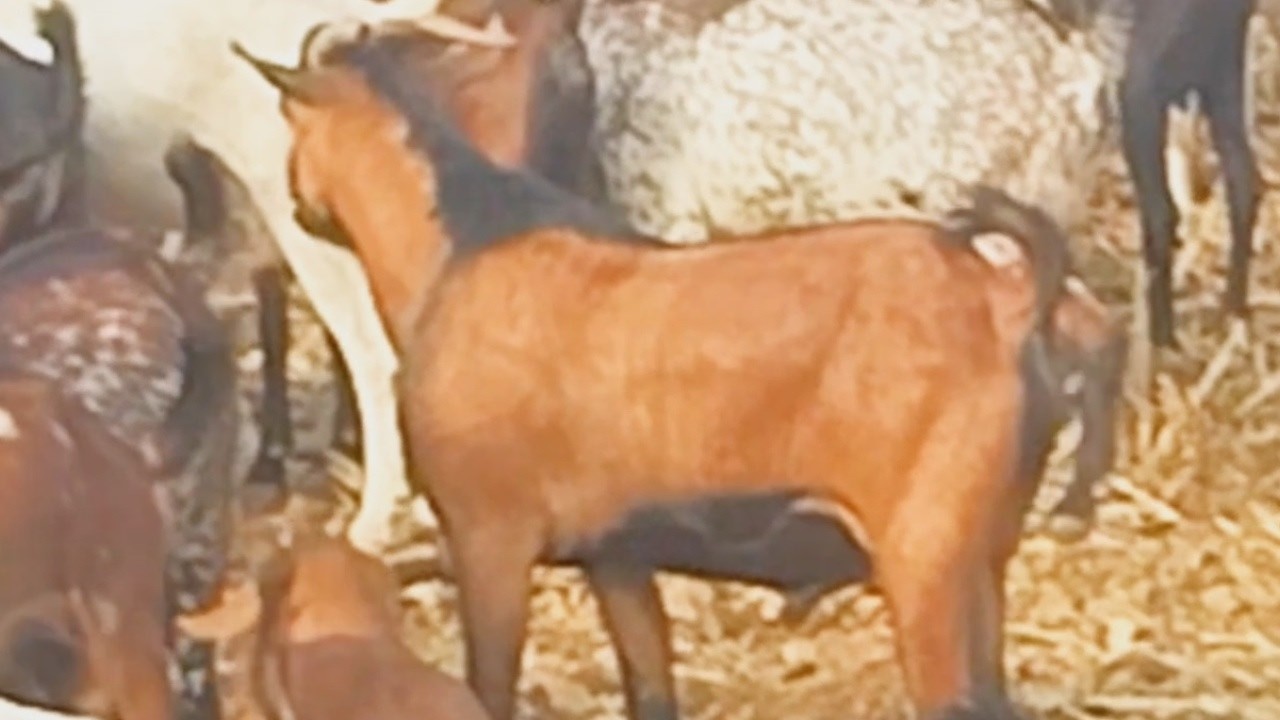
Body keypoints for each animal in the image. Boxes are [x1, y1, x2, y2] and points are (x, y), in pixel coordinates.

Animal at [235, 36, 1126, 720]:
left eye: (289, 125)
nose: (294, 201)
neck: (463, 241)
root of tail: (1007, 299)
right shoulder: (617, 557)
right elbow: (651, 689)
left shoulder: (490, 539)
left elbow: (491, 687)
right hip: (986, 556)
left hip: (925, 558)